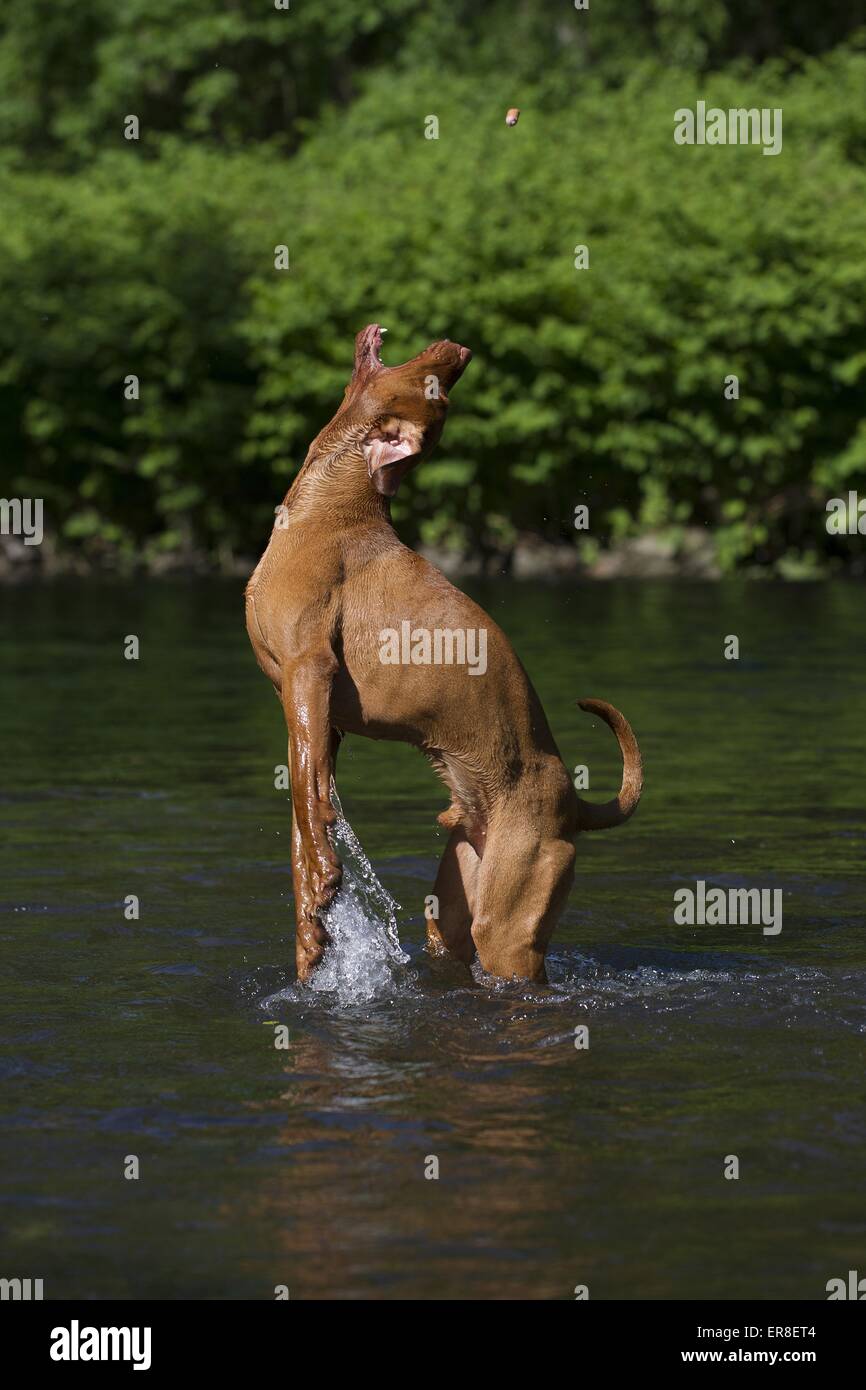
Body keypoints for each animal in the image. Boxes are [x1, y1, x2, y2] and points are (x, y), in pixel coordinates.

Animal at [247, 323, 639, 984]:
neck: (334, 506)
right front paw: (311, 925)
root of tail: (574, 804)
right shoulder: (314, 713)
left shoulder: (309, 673)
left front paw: (324, 878)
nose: (462, 349)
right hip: (456, 900)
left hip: (510, 924)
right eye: (441, 394)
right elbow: (307, 808)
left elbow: (306, 796)